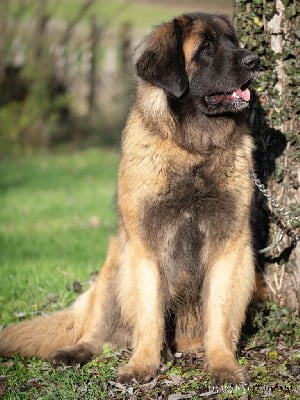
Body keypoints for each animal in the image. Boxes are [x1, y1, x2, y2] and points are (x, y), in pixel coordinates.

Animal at [0, 14, 258, 386]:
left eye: (233, 41)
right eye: (206, 48)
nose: (255, 61)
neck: (191, 151)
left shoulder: (229, 246)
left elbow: (220, 315)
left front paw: (222, 364)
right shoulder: (144, 247)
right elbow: (149, 315)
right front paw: (142, 366)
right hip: (113, 269)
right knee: (96, 333)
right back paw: (75, 352)